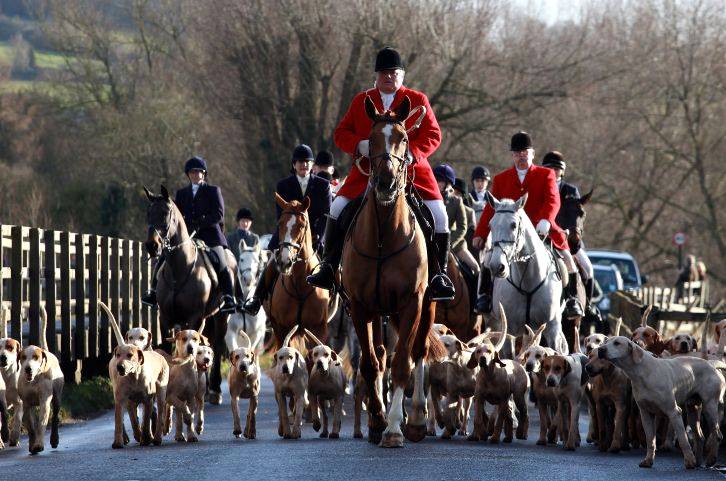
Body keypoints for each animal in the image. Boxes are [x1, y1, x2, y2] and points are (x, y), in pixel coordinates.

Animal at [141, 186, 233, 404]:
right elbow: (168, 350)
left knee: (216, 345)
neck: (179, 268)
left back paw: (214, 390)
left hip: (221, 316)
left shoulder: (193, 318)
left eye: (166, 213)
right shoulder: (165, 318)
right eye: (148, 213)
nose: (152, 246)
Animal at [268, 193, 334, 346]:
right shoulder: (283, 328)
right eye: (280, 223)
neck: (299, 284)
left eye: (302, 225)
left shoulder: (318, 330)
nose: (284, 261)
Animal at [344, 95, 446, 448]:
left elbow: (403, 363)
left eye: (403, 138)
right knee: (381, 355)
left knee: (418, 352)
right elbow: (371, 364)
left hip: (425, 307)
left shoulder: (411, 301)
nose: (387, 182)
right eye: (371, 139)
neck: (383, 235)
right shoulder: (360, 306)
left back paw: (414, 420)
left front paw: (393, 429)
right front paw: (378, 421)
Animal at [486, 191, 572, 352]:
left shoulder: (552, 329)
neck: (528, 280)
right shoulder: (508, 330)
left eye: (513, 225)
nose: (496, 266)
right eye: (490, 225)